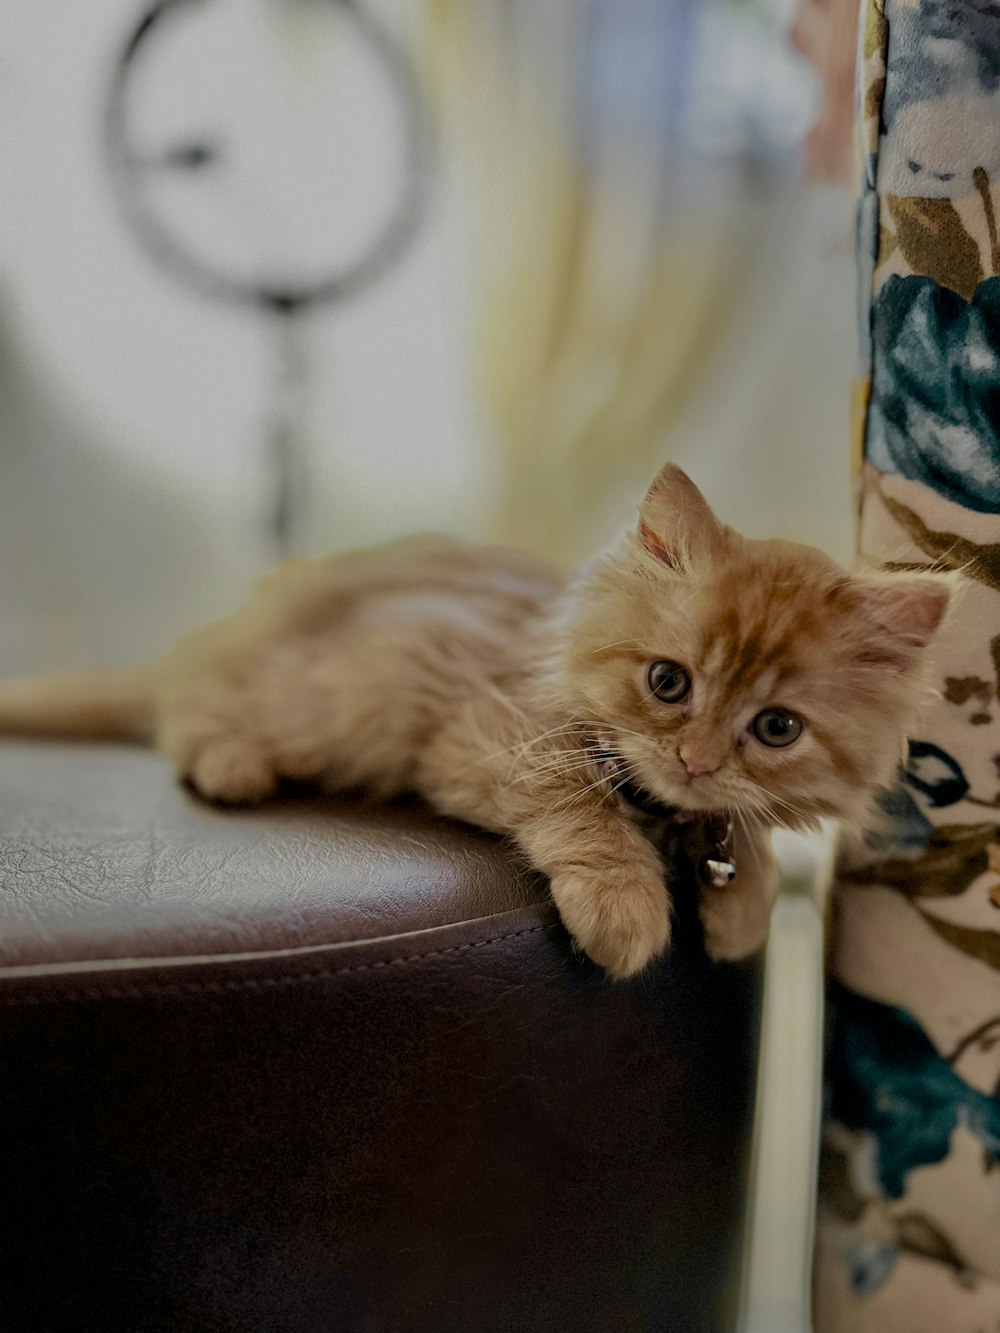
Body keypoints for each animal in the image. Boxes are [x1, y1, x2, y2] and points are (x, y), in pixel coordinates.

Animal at [0, 466, 949, 981]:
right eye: (668, 682)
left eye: (777, 728)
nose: (697, 759)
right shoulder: (480, 727)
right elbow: (582, 806)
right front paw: (626, 904)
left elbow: (739, 832)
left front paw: (743, 903)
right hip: (322, 695)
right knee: (186, 711)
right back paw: (228, 760)